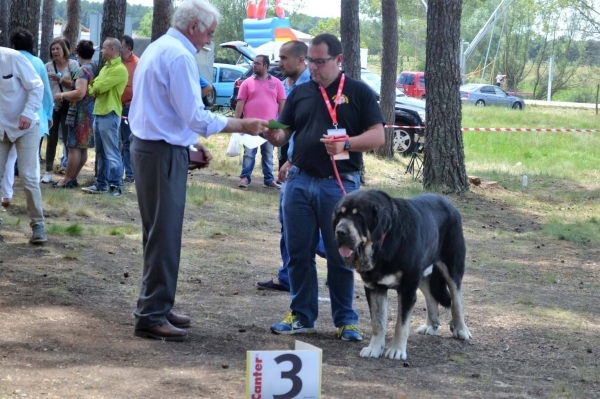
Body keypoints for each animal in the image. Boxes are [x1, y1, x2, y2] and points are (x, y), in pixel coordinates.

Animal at [332, 189, 468, 360]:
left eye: (359, 217)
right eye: (340, 215)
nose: (340, 232)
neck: (383, 244)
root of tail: (448, 202)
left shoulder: (407, 288)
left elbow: (401, 325)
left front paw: (396, 350)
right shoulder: (374, 288)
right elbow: (377, 323)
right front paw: (374, 348)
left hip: (452, 267)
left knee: (457, 300)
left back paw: (461, 329)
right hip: (422, 273)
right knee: (431, 296)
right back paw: (431, 325)